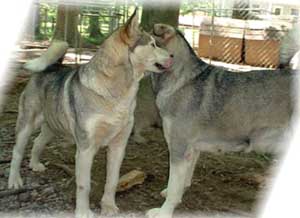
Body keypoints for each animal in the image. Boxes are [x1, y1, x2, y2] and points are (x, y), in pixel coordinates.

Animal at [147, 23, 296, 218]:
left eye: (146, 40)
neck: (180, 80)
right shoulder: (191, 151)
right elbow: (182, 182)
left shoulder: (179, 147)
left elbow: (174, 187)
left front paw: (164, 212)